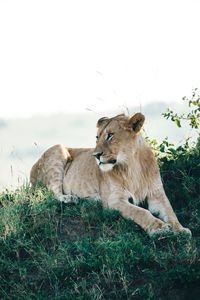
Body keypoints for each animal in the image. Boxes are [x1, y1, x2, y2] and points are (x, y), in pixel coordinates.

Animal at [30, 112, 191, 237]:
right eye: (97, 137)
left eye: (110, 136)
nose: (95, 155)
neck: (131, 165)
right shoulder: (113, 200)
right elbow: (140, 212)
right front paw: (159, 228)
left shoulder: (157, 195)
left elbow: (170, 212)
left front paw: (181, 230)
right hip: (58, 149)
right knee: (52, 192)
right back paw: (70, 198)